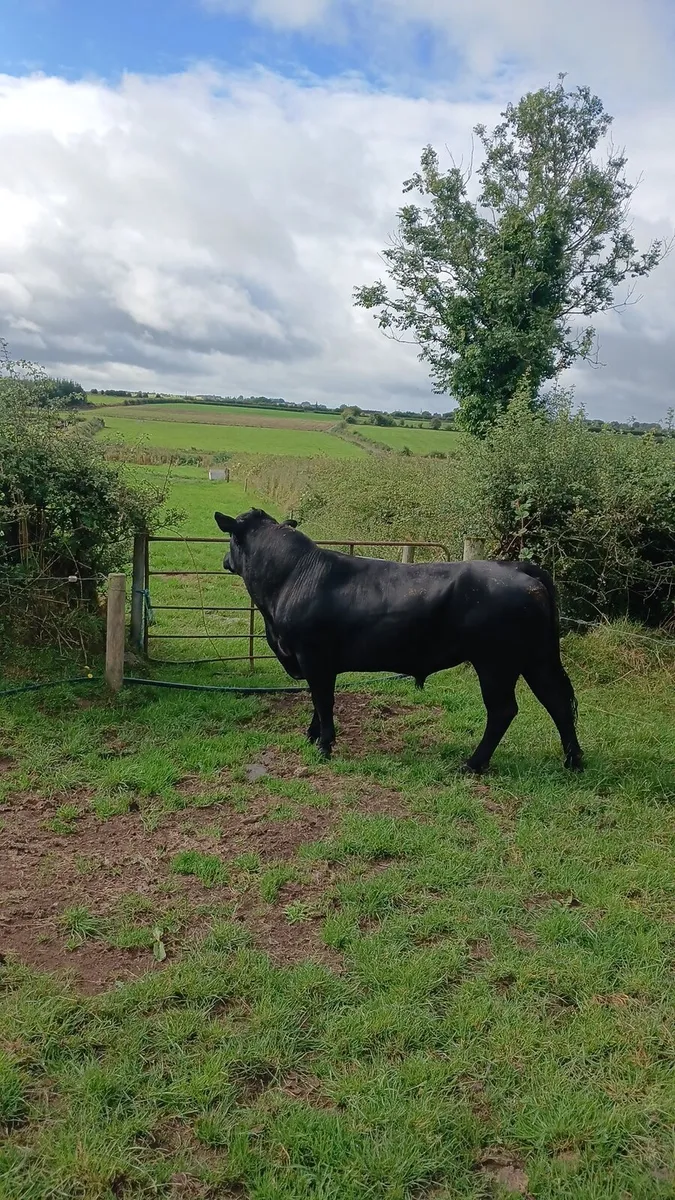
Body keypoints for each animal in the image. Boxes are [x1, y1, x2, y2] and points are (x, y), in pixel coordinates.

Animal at [214, 509, 583, 774]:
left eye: (230, 536)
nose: (225, 560)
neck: (292, 577)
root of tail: (518, 568)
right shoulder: (314, 663)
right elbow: (317, 702)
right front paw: (312, 735)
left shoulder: (314, 657)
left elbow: (323, 701)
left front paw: (323, 745)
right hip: (537, 658)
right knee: (558, 702)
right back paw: (574, 761)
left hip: (496, 663)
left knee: (504, 710)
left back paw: (473, 764)